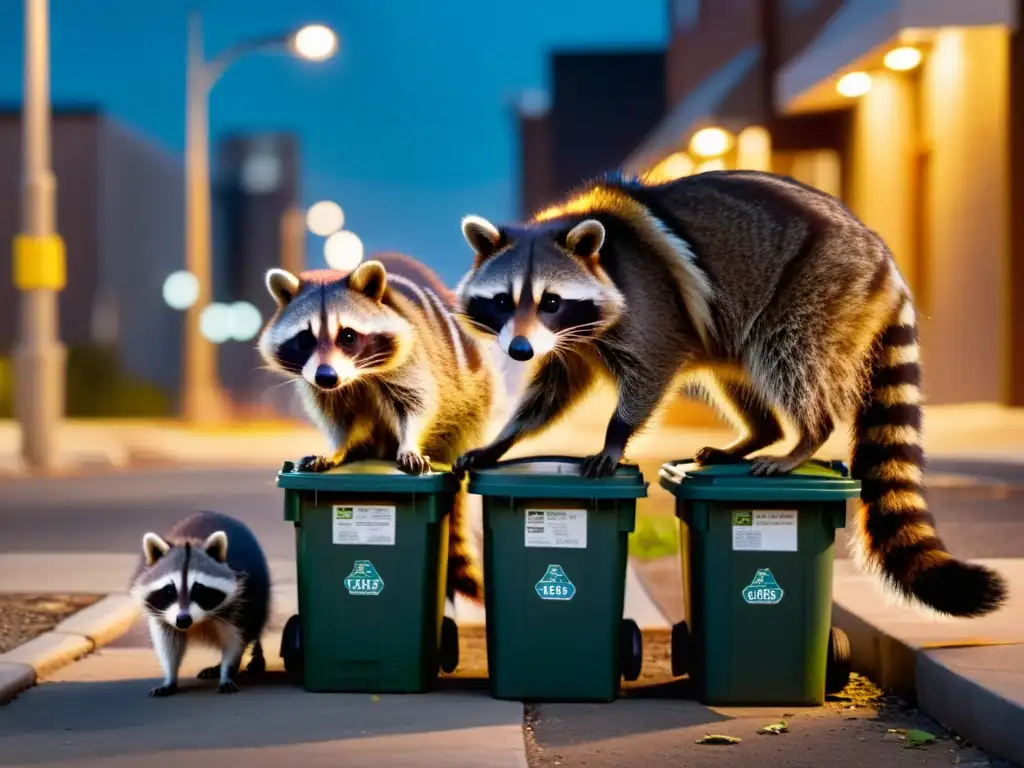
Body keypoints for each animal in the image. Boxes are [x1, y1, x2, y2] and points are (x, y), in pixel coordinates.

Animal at [129, 512, 272, 696]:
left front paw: (227, 670)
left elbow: (234, 641)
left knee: (254, 627)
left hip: (259, 594)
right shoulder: (161, 615)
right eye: (169, 590)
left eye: (198, 589)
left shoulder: (239, 603)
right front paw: (170, 676)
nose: (183, 620)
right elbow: (168, 643)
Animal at [256, 262, 495, 606]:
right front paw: (337, 449)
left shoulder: (412, 357)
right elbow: (336, 417)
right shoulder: (320, 387)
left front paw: (409, 443)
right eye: (305, 339)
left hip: (473, 399)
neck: (356, 377)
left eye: (348, 336)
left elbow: (417, 402)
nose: (326, 376)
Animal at [454, 167, 1007, 618]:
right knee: (741, 375)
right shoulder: (573, 344)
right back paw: (757, 434)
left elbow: (651, 370)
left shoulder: (649, 309)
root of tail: (881, 254)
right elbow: (553, 392)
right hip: (746, 326)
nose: (520, 350)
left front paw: (615, 435)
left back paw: (807, 436)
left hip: (818, 290)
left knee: (790, 357)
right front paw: (502, 440)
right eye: (502, 301)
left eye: (551, 301)